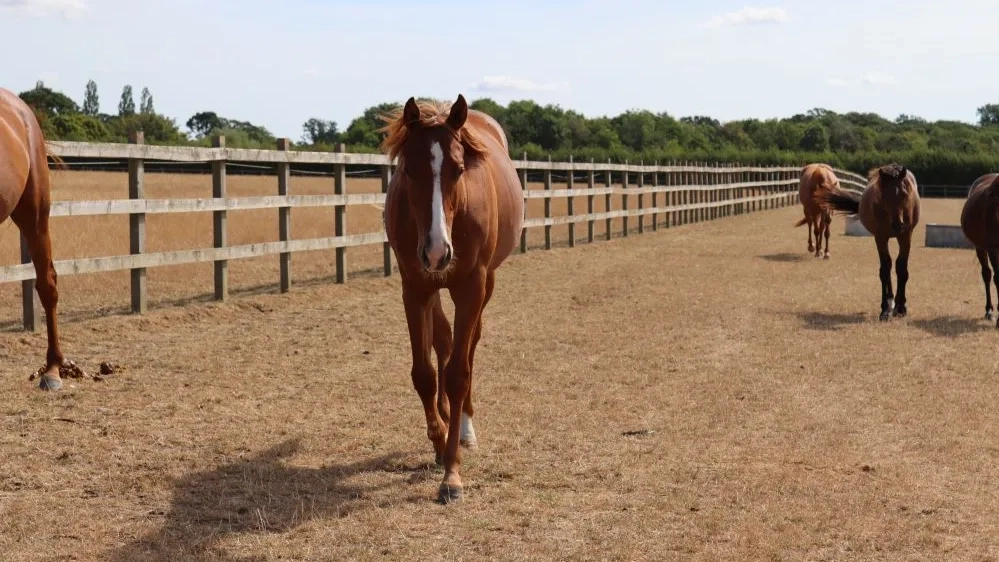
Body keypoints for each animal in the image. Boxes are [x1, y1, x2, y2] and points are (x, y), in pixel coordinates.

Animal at [380, 94, 524, 504]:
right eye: (408, 170)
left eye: (459, 170)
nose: (435, 251)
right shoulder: (415, 288)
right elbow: (424, 374)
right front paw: (438, 438)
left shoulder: (471, 287)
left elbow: (460, 372)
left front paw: (452, 474)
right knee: (443, 342)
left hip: (483, 284)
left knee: (468, 348)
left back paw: (464, 429)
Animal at [819, 163, 920, 321]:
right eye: (884, 196)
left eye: (904, 193)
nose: (897, 225)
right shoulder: (880, 237)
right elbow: (885, 270)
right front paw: (885, 309)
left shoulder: (905, 236)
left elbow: (902, 269)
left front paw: (901, 308)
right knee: (887, 265)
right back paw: (890, 302)